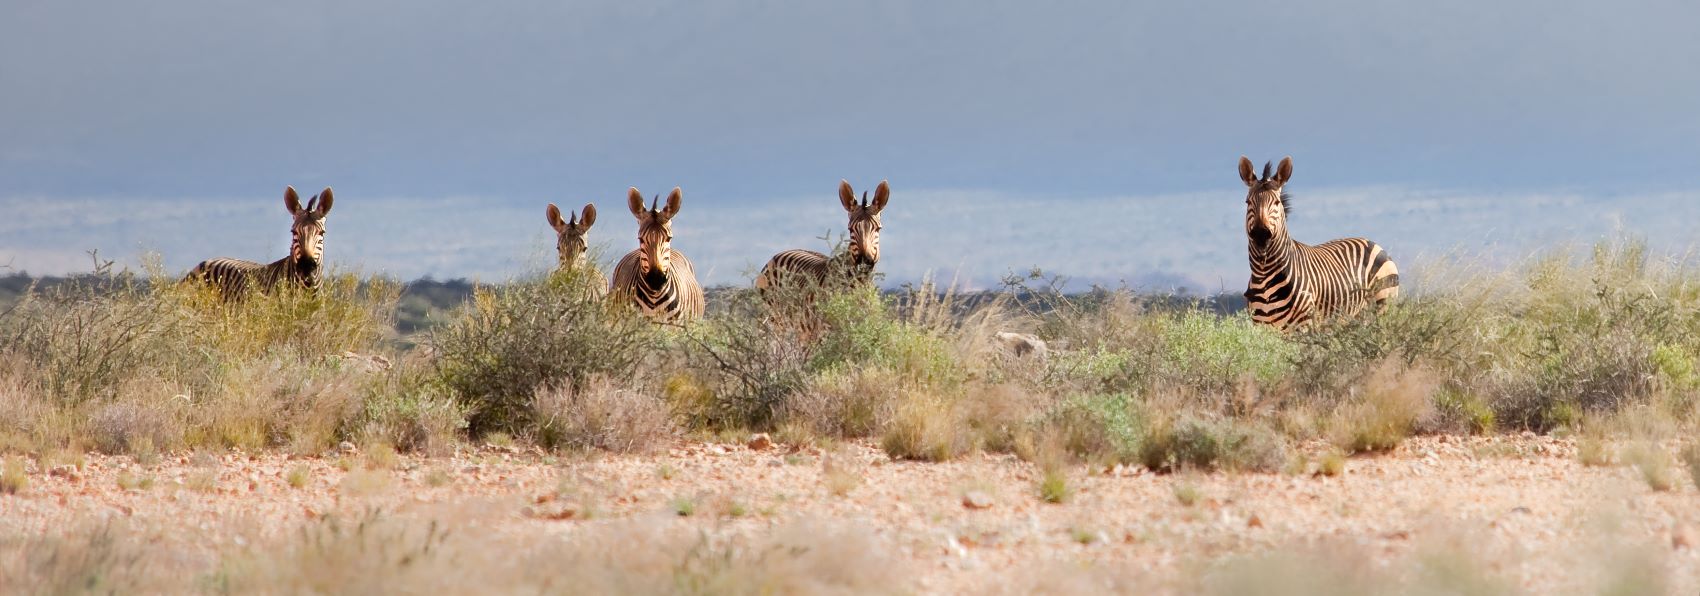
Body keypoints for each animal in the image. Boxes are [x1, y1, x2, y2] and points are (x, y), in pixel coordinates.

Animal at [1240, 156, 1399, 331]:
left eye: (1276, 202)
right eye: (1247, 202)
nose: (1261, 235)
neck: (1263, 274)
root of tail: (1371, 242)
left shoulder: (1303, 326)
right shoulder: (1260, 327)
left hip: (1383, 306)